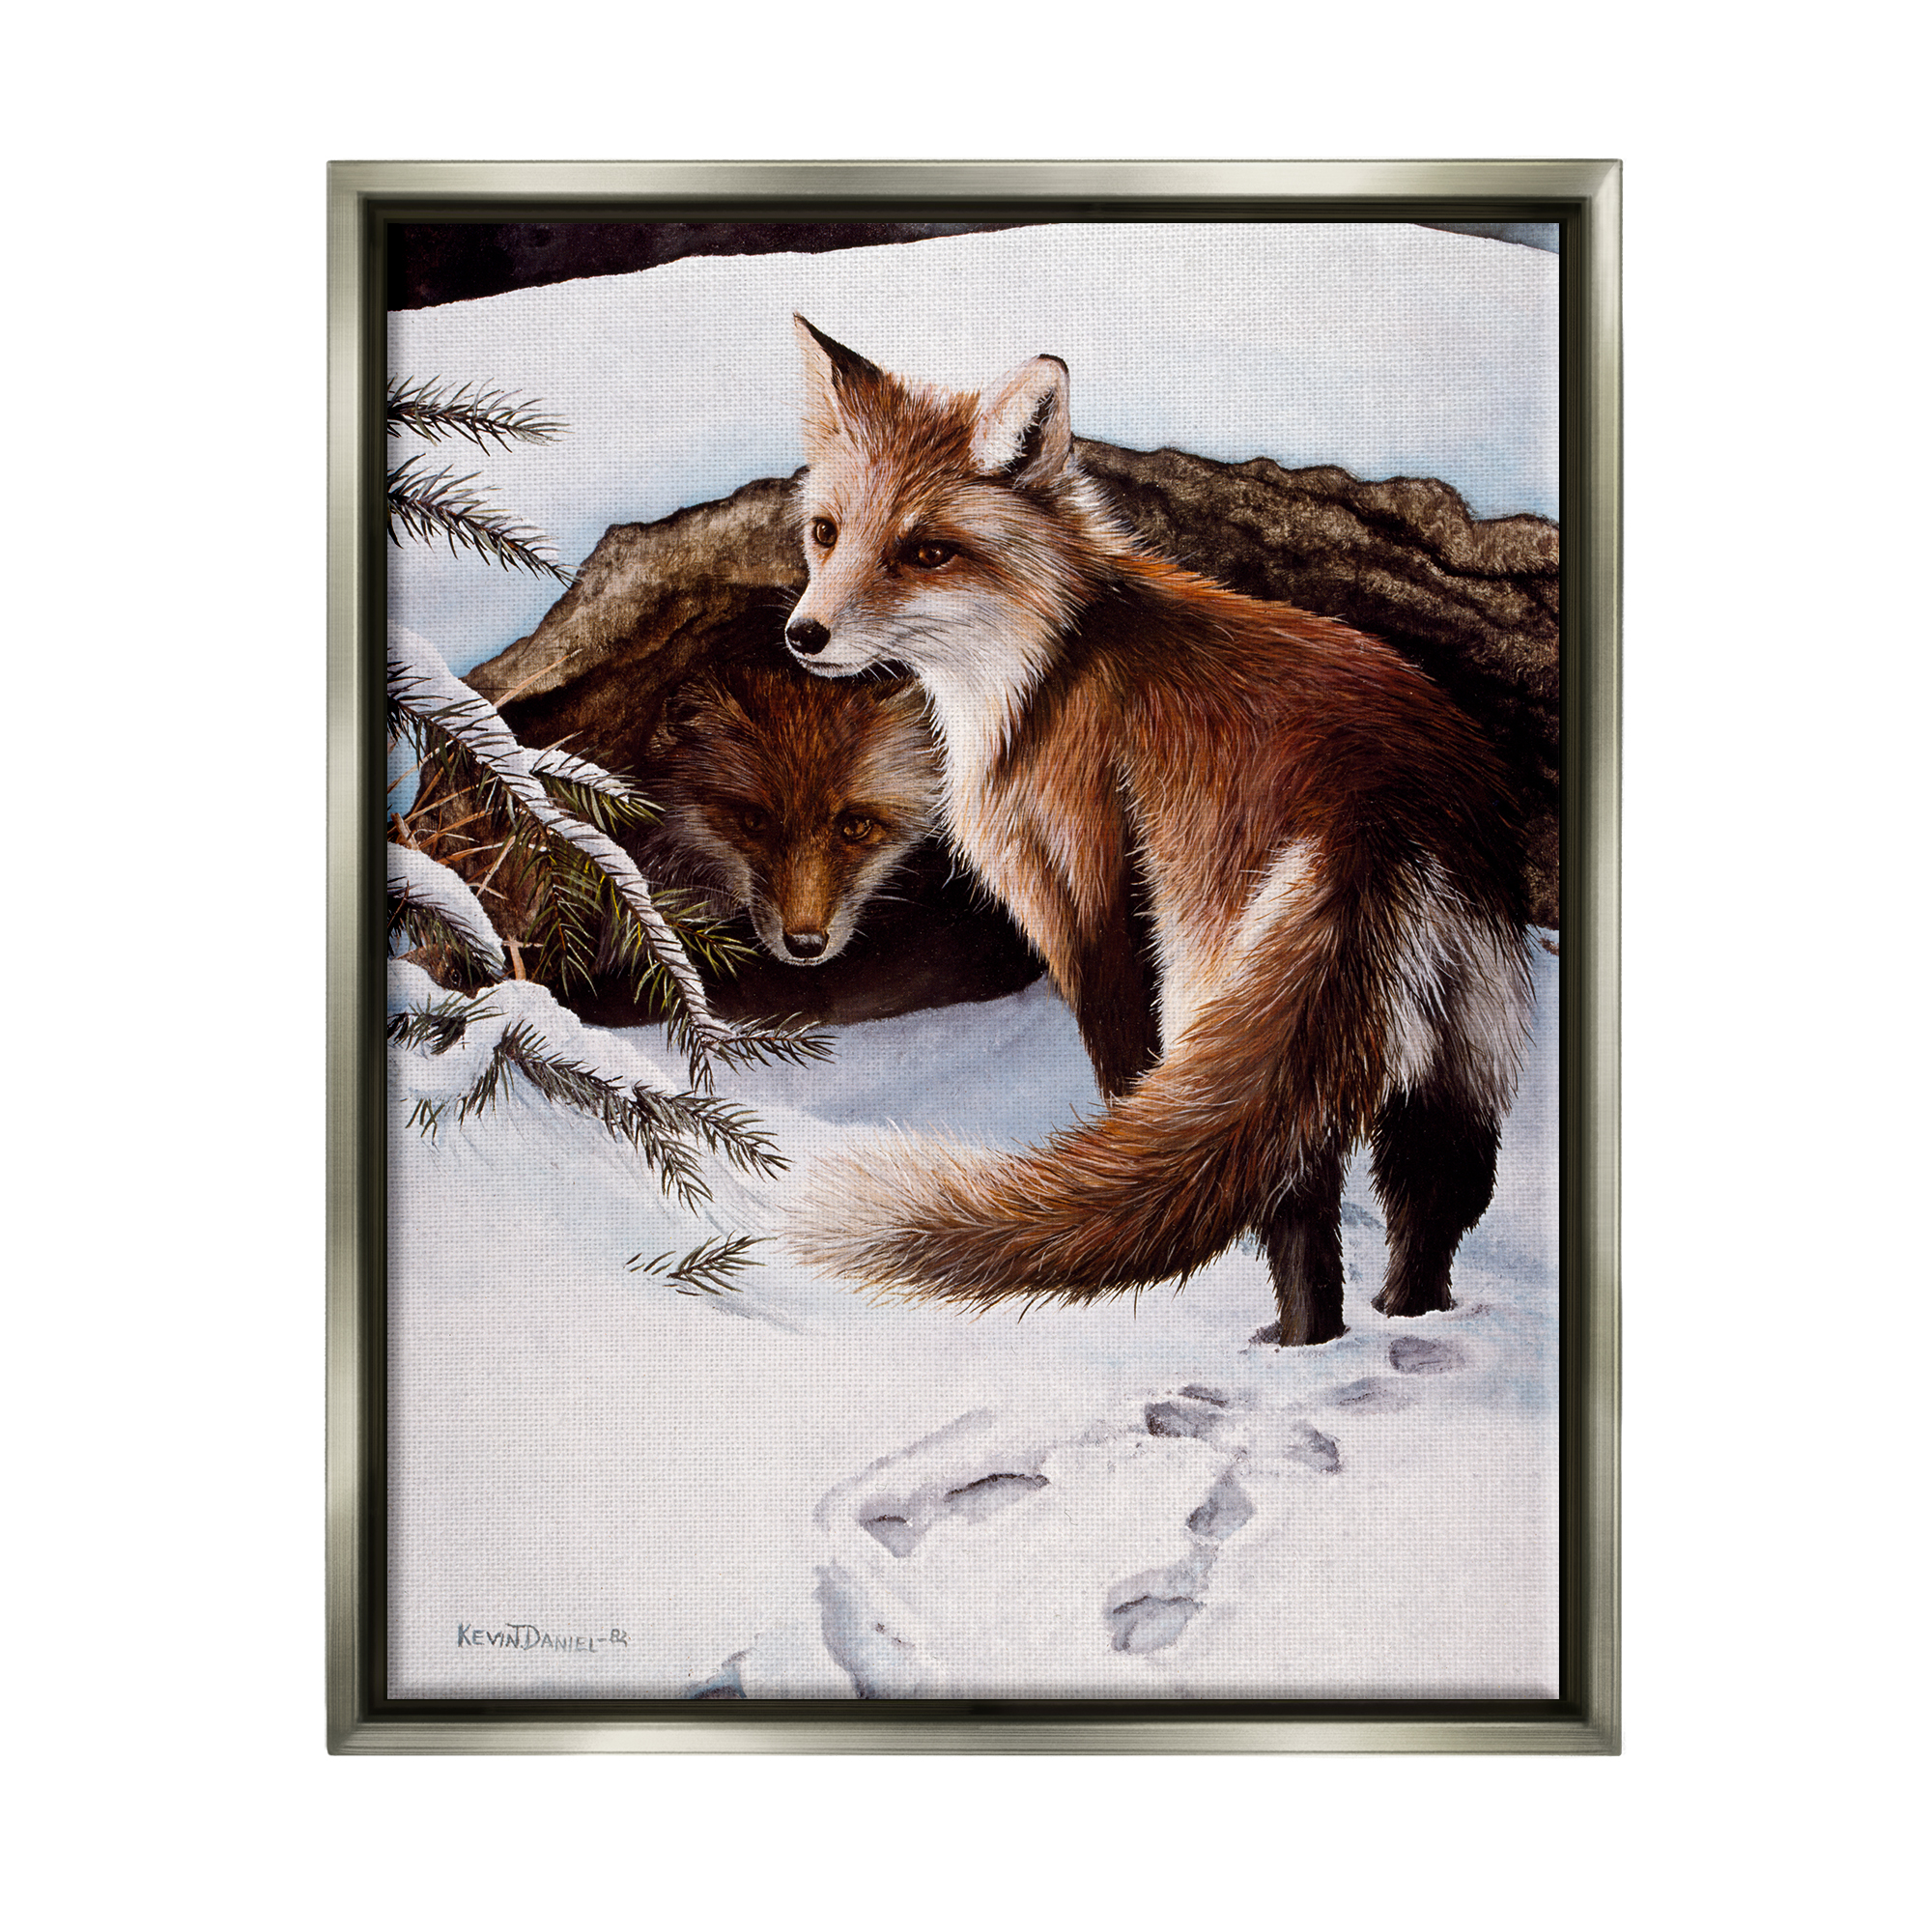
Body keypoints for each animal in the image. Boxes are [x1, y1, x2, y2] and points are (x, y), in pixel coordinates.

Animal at [781, 317, 1534, 1347]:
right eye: (826, 533)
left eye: (926, 552)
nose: (802, 636)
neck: (1048, 662)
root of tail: (1383, 804)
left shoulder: (1078, 895)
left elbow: (1124, 1081)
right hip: (1448, 1059)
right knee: (1433, 1202)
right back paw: (1393, 1325)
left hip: (1221, 990)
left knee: (1294, 1198)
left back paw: (1292, 1346)